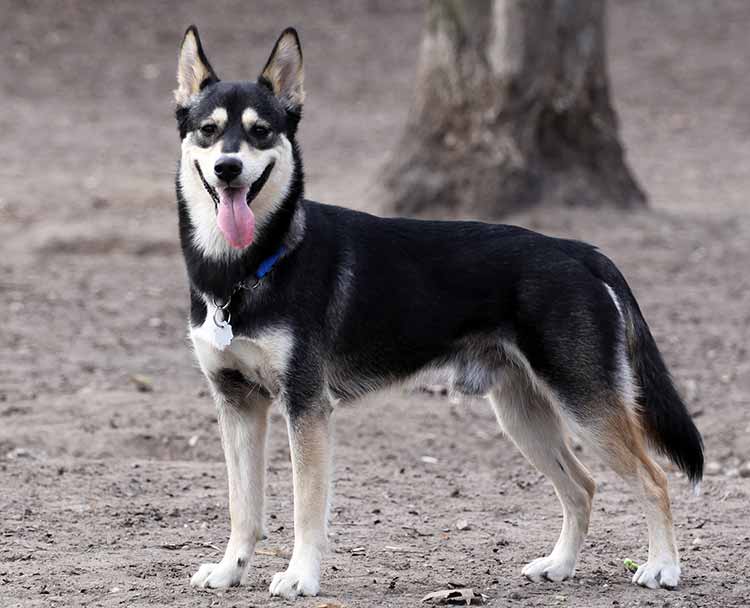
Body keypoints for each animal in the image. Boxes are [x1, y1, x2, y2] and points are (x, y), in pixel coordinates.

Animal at [175, 25, 704, 600]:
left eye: (261, 132)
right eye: (208, 131)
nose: (228, 169)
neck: (247, 268)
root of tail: (579, 250)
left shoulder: (306, 407)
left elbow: (306, 508)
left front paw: (300, 576)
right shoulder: (237, 404)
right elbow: (243, 507)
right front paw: (229, 571)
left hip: (586, 404)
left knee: (654, 479)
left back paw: (663, 568)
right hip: (523, 414)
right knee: (582, 487)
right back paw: (559, 565)